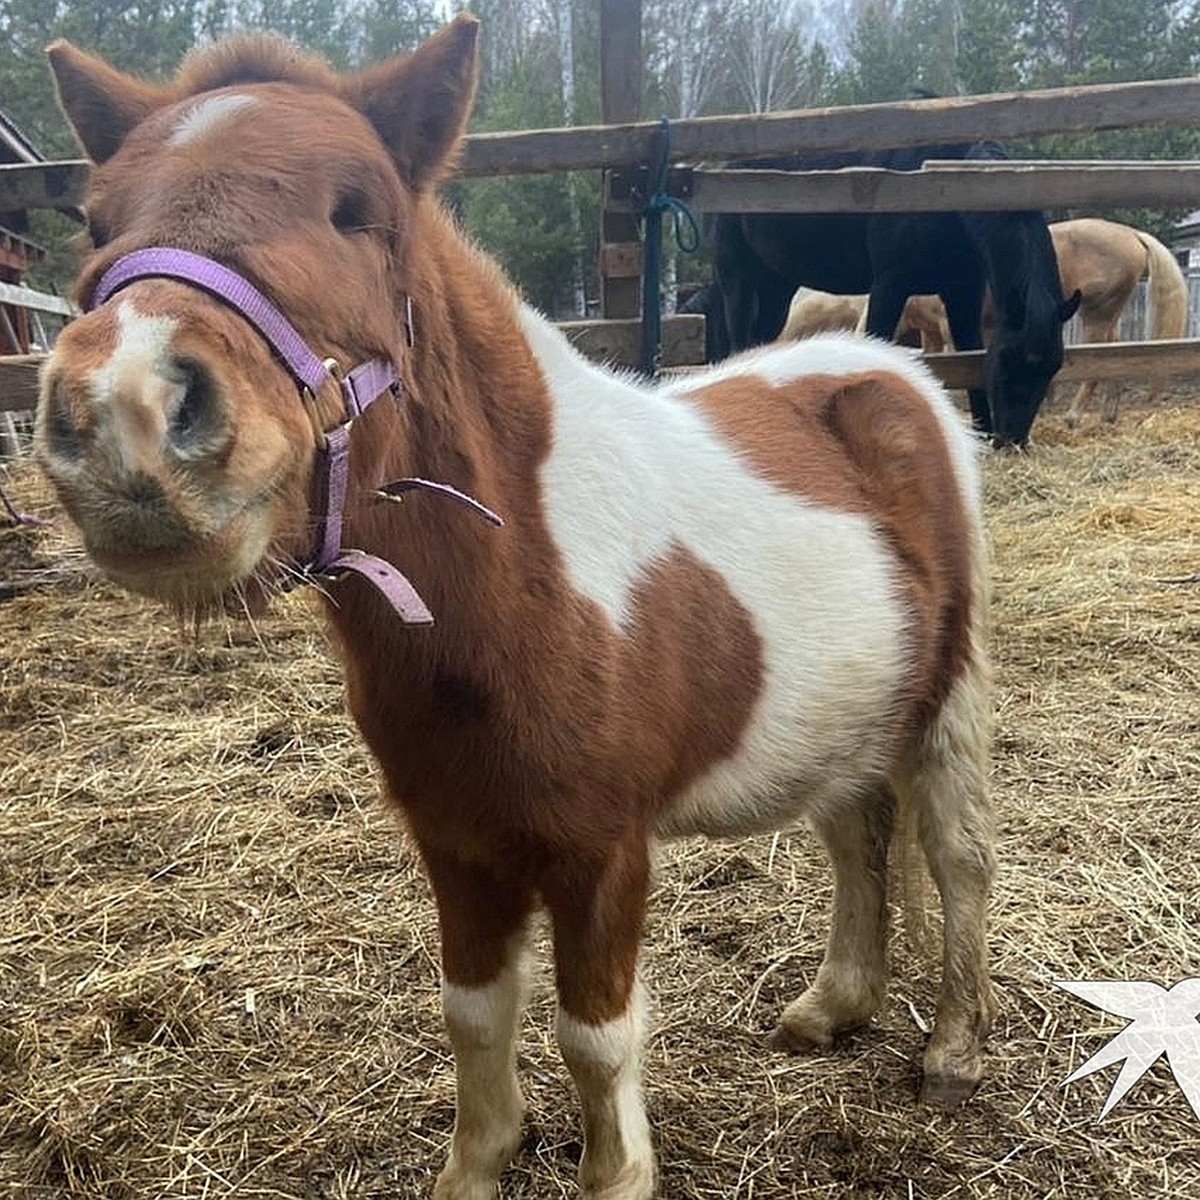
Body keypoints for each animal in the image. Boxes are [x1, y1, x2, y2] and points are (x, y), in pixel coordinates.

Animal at [35, 21, 993, 1200]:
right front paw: (481, 1162)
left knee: (955, 854)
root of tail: (891, 367)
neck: (520, 584)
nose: (124, 412)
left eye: (357, 208)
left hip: (945, 698)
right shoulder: (459, 843)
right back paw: (833, 1007)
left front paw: (616, 1175)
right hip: (838, 714)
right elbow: (475, 1016)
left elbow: (597, 1037)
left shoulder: (600, 853)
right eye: (95, 219)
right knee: (856, 831)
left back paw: (952, 1051)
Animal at [705, 140, 1084, 448]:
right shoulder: (890, 286)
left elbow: (971, 354)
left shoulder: (962, 294)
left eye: (1051, 369)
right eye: (1007, 362)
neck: (945, 199)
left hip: (777, 288)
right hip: (738, 280)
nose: (1012, 439)